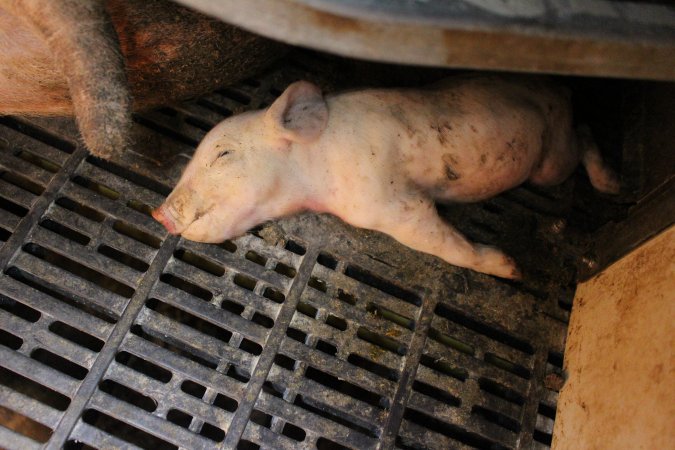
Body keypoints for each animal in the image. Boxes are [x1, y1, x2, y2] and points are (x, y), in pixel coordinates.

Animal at [152, 74, 616, 278]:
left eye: (223, 154)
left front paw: (512, 270)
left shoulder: (392, 203)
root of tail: (559, 87)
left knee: (583, 134)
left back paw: (613, 184)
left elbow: (442, 241)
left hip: (549, 164)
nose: (158, 213)